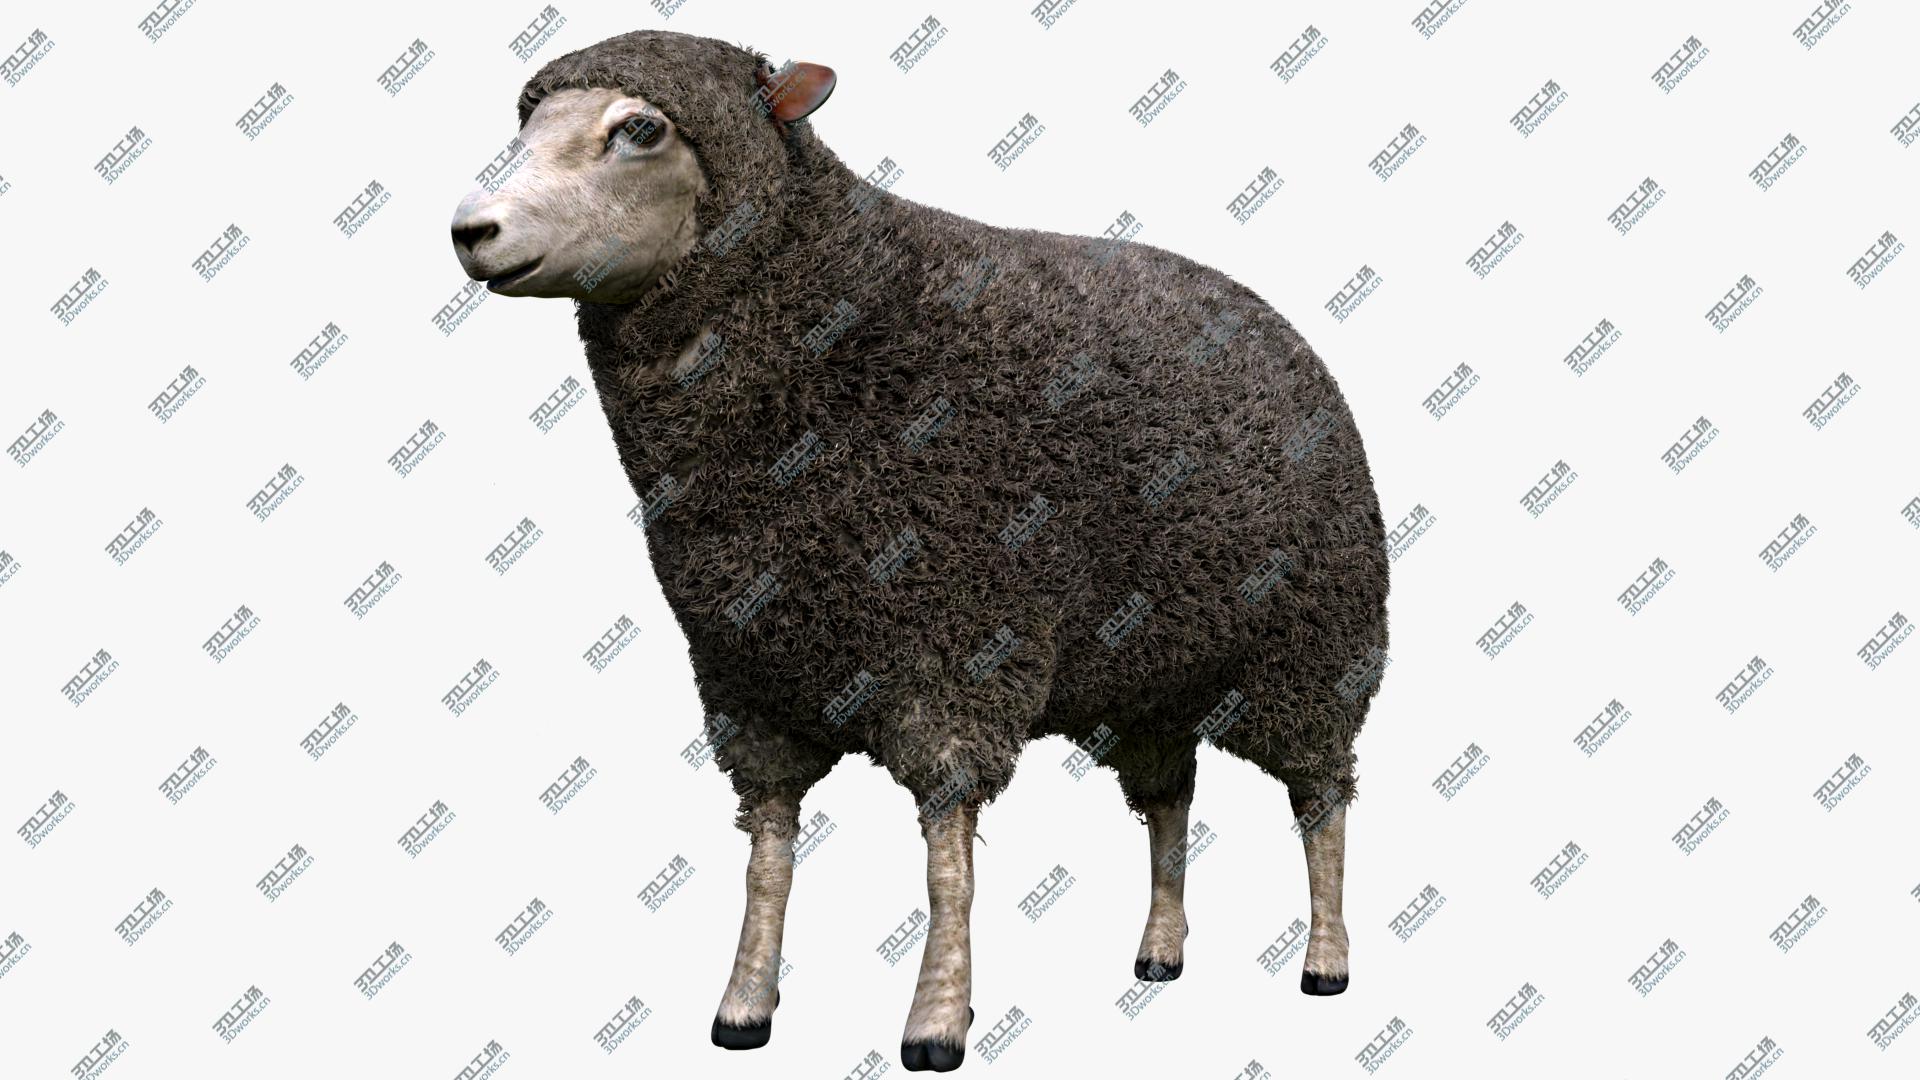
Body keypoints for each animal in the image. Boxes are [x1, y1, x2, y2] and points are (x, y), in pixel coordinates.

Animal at [449, 29, 1391, 1073]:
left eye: (641, 128)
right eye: (528, 118)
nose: (471, 230)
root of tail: (1276, 322)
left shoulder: (957, 648)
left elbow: (947, 858)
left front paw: (937, 1019)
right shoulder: (751, 677)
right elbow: (767, 857)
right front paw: (744, 1005)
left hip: (1314, 647)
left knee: (1321, 801)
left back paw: (1326, 960)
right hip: (1150, 672)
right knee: (1170, 799)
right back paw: (1160, 950)